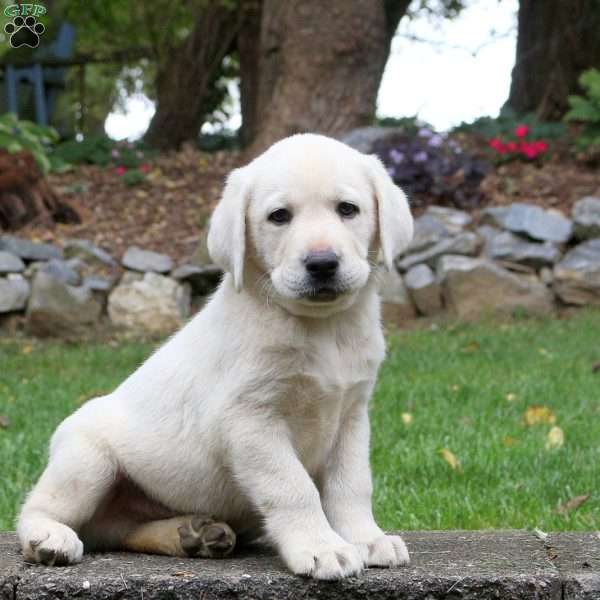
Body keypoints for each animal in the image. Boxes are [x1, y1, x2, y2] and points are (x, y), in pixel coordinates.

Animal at [17, 134, 412, 580]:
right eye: (279, 216)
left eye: (348, 209)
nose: (322, 263)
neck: (321, 328)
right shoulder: (249, 421)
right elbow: (292, 487)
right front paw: (321, 546)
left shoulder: (352, 415)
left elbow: (352, 485)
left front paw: (366, 538)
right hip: (86, 460)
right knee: (39, 509)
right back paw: (49, 538)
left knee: (119, 529)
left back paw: (190, 535)